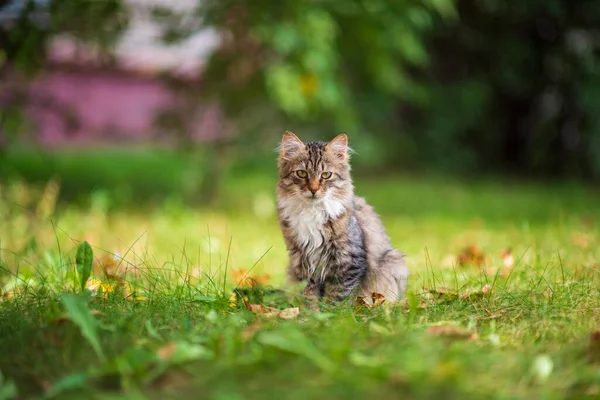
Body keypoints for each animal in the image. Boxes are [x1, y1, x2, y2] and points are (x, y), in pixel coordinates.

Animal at [276, 131, 408, 304]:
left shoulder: (348, 260)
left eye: (326, 175)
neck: (313, 211)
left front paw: (331, 311)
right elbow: (309, 294)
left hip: (393, 262)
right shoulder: (302, 260)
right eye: (302, 173)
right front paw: (310, 311)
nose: (313, 189)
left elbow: (337, 295)